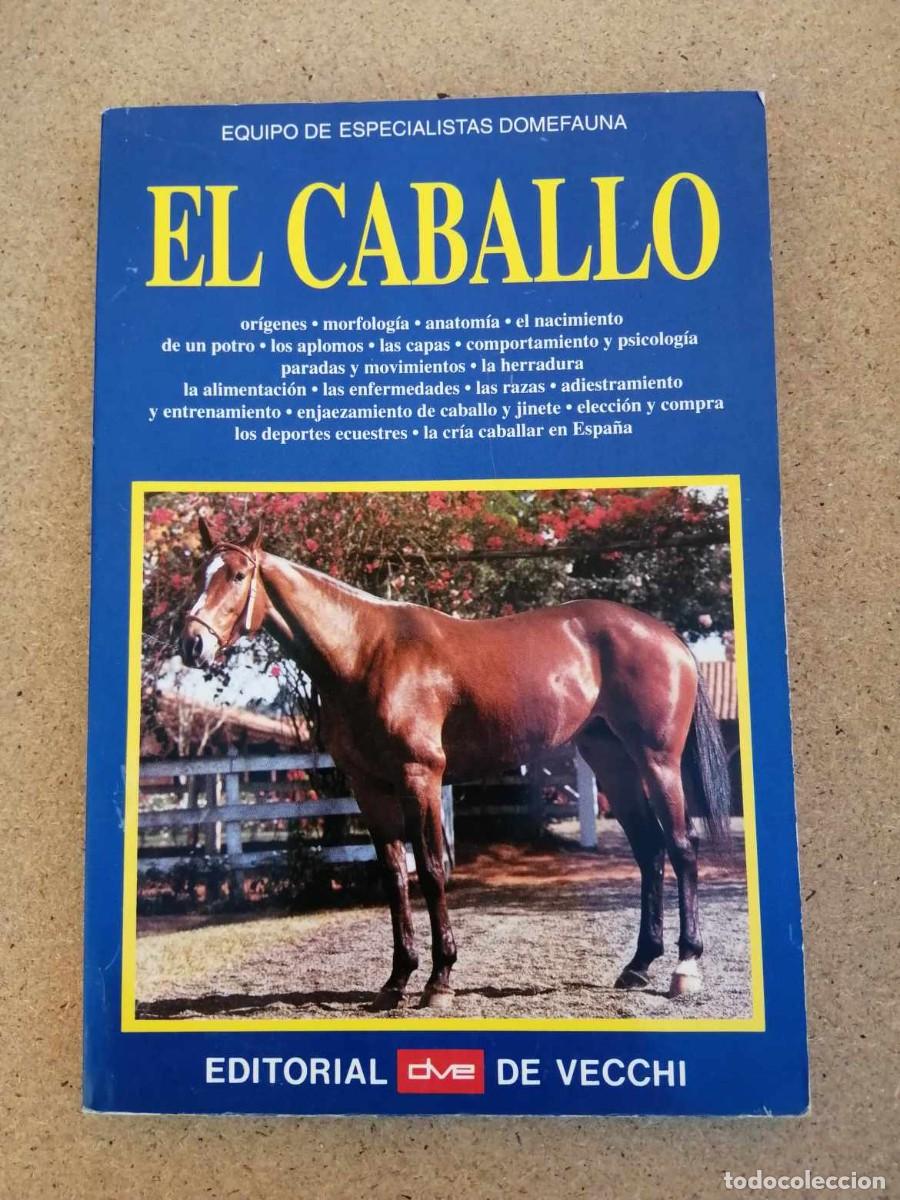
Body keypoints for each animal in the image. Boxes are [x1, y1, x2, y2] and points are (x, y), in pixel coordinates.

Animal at [180, 516, 731, 1010]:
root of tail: (668, 638)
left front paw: (439, 980)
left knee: (681, 848)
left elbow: (430, 871)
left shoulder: (419, 777)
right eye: (197, 573)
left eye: (237, 575)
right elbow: (394, 876)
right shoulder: (368, 788)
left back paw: (685, 968)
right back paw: (638, 965)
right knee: (649, 851)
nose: (192, 644)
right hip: (612, 762)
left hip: (658, 762)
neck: (366, 653)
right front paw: (396, 981)